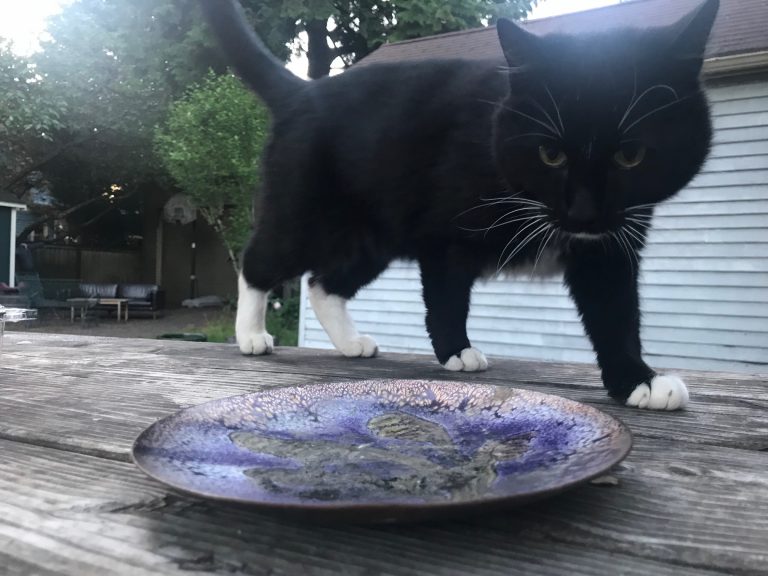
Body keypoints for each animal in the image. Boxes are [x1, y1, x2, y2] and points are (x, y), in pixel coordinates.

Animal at [201, 0, 716, 410]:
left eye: (631, 155)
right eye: (551, 154)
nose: (584, 212)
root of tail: (303, 91)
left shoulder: (609, 243)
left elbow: (616, 311)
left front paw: (638, 379)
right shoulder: (443, 231)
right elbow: (447, 295)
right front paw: (456, 352)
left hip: (373, 236)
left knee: (324, 283)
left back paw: (349, 342)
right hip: (304, 210)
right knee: (261, 259)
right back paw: (250, 334)